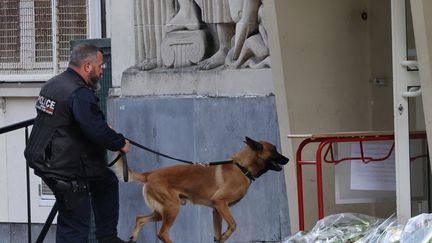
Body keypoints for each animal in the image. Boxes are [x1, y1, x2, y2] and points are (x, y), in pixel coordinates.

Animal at [116, 137, 288, 243]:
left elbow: (217, 235)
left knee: (140, 218)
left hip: (162, 211)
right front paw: (226, 235)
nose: (287, 159)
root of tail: (149, 174)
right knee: (162, 233)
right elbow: (233, 224)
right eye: (274, 150)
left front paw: (221, 237)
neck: (242, 167)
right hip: (172, 209)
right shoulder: (220, 203)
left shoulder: (217, 210)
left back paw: (133, 238)